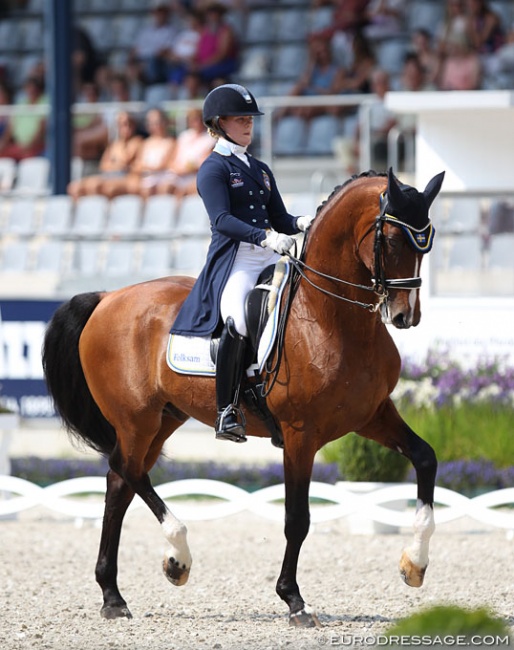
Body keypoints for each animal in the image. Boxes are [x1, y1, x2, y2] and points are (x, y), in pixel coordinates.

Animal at [43, 166, 444, 624]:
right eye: (392, 240)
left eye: (428, 239)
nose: (406, 316)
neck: (330, 318)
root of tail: (107, 297)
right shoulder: (300, 434)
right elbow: (297, 518)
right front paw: (293, 599)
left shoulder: (372, 414)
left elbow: (426, 458)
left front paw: (414, 565)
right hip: (135, 418)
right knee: (126, 470)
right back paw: (177, 557)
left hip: (163, 419)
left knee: (119, 484)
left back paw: (114, 593)